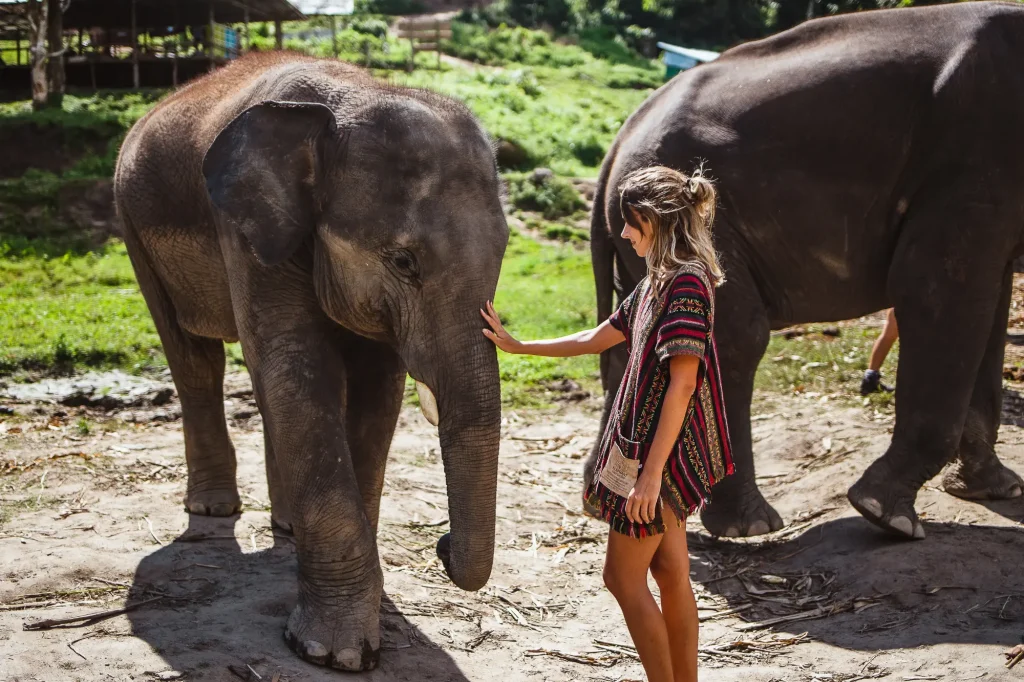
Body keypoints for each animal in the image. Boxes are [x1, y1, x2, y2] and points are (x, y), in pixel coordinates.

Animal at [114, 52, 509, 670]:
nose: (442, 545)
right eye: (404, 262)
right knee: (195, 360)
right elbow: (299, 365)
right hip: (133, 226)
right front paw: (335, 654)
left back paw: (287, 525)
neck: (350, 98)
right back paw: (213, 508)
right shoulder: (246, 229)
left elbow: (376, 390)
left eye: (505, 253)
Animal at [588, 1, 1024, 541]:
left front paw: (995, 490)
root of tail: (618, 142)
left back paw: (606, 504)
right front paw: (887, 516)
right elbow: (936, 291)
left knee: (633, 342)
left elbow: (990, 305)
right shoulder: (974, 158)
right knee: (735, 335)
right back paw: (749, 526)